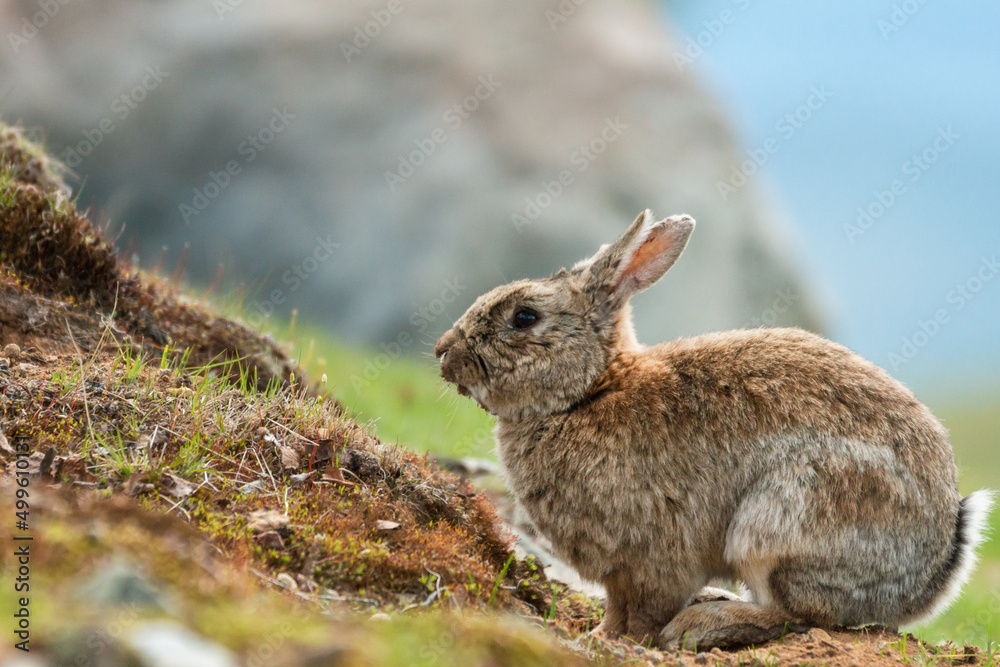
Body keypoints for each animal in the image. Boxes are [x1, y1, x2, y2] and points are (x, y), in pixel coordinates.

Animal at [434, 210, 994, 649]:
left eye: (524, 317)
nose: (443, 352)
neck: (589, 391)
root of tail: (931, 575)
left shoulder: (653, 555)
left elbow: (643, 609)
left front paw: (625, 643)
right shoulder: (620, 571)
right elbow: (615, 606)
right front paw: (596, 635)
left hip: (783, 521)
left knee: (798, 615)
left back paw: (704, 625)